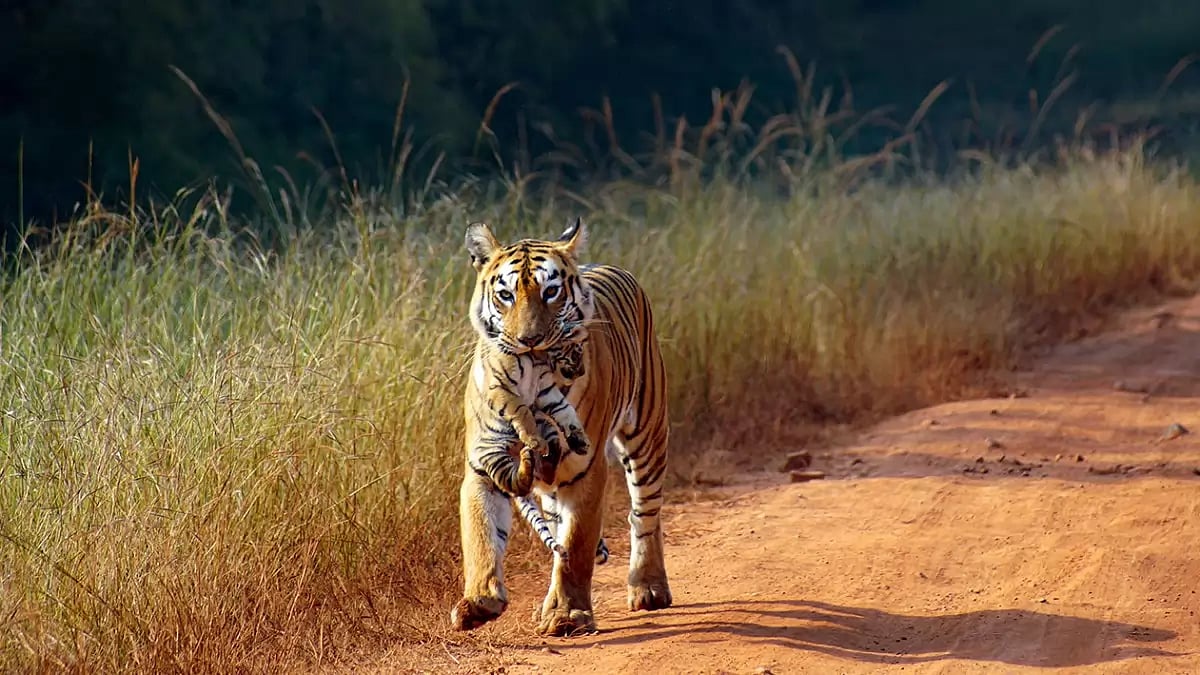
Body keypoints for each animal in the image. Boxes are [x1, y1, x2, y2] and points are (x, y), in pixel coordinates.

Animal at [453, 217, 672, 636]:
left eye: (551, 291)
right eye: (505, 295)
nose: (529, 341)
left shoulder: (586, 470)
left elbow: (577, 546)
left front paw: (568, 614)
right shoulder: (482, 467)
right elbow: (481, 537)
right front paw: (479, 602)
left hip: (647, 435)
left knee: (645, 513)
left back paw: (648, 587)